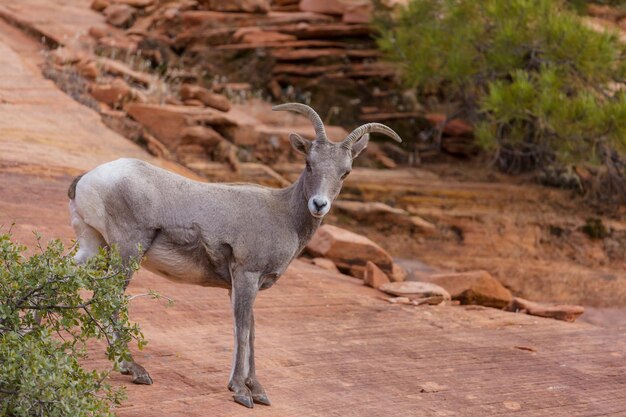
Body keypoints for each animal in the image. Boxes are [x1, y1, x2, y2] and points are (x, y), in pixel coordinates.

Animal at [67, 103, 400, 406]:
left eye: (346, 172)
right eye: (309, 163)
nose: (319, 204)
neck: (283, 215)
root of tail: (88, 179)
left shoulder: (243, 285)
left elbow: (251, 331)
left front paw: (258, 391)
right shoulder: (246, 276)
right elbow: (242, 331)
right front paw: (241, 392)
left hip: (93, 247)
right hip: (126, 251)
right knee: (107, 296)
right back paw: (134, 369)